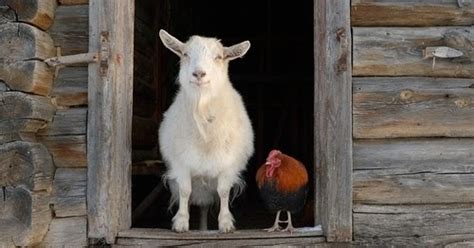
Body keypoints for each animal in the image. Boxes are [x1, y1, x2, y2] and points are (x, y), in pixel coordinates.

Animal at [158, 29, 256, 232]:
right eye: (185, 54)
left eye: (218, 57)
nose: (199, 73)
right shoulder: (181, 163)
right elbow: (184, 190)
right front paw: (181, 223)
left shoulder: (229, 164)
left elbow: (223, 191)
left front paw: (225, 223)